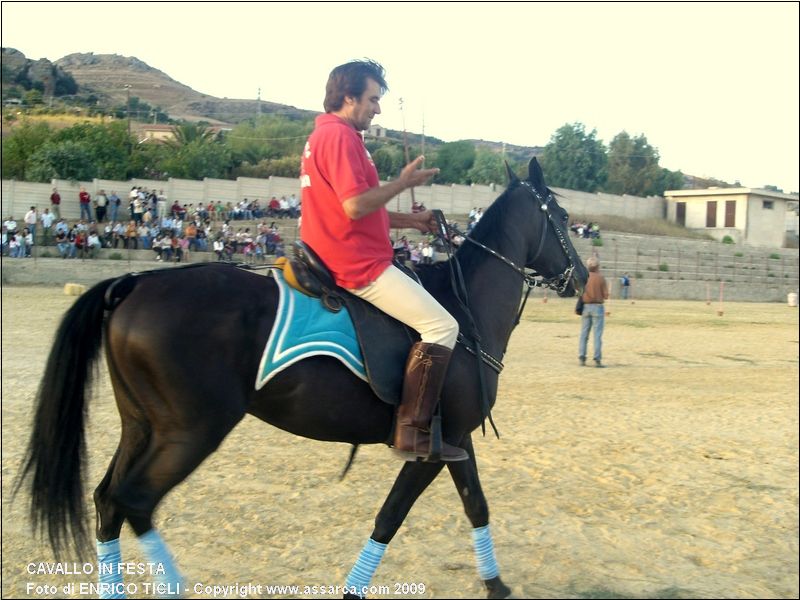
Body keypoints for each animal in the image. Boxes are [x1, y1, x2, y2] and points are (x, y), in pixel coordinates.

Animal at [17, 157, 588, 596]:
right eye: (561, 215)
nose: (583, 277)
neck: (462, 308)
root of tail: (133, 283)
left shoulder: (458, 440)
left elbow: (476, 506)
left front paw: (496, 584)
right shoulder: (430, 448)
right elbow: (391, 517)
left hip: (143, 426)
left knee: (107, 501)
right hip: (190, 431)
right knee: (134, 500)